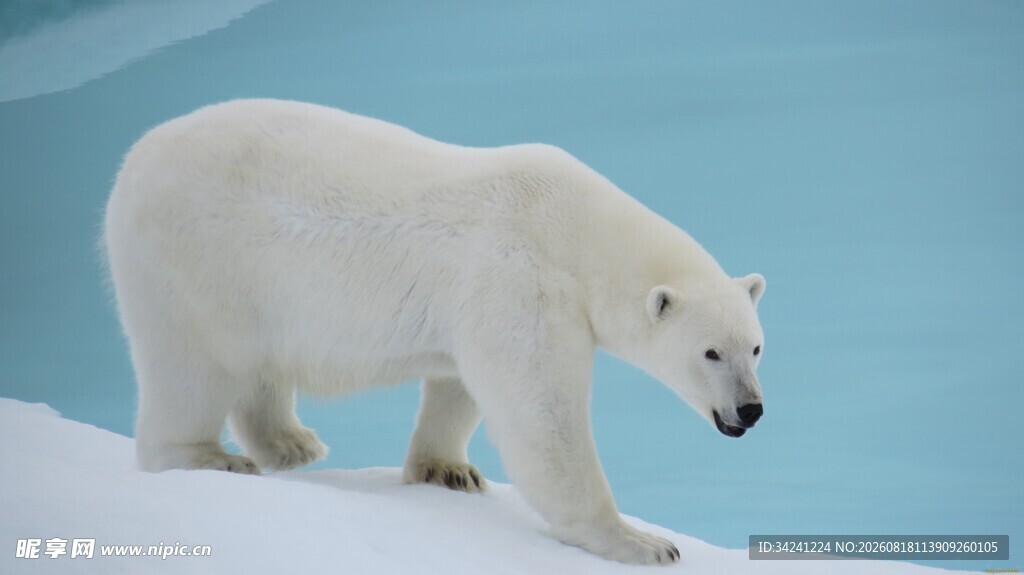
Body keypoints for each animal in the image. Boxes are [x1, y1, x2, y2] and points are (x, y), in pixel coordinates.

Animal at [103, 99, 766, 565]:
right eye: (711, 353)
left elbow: (459, 383)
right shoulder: (521, 277)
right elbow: (542, 415)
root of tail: (133, 161)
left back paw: (291, 442)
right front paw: (642, 541)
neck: (575, 228)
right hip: (193, 259)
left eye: (757, 347)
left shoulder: (481, 299)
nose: (751, 409)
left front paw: (448, 470)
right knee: (191, 366)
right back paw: (210, 457)